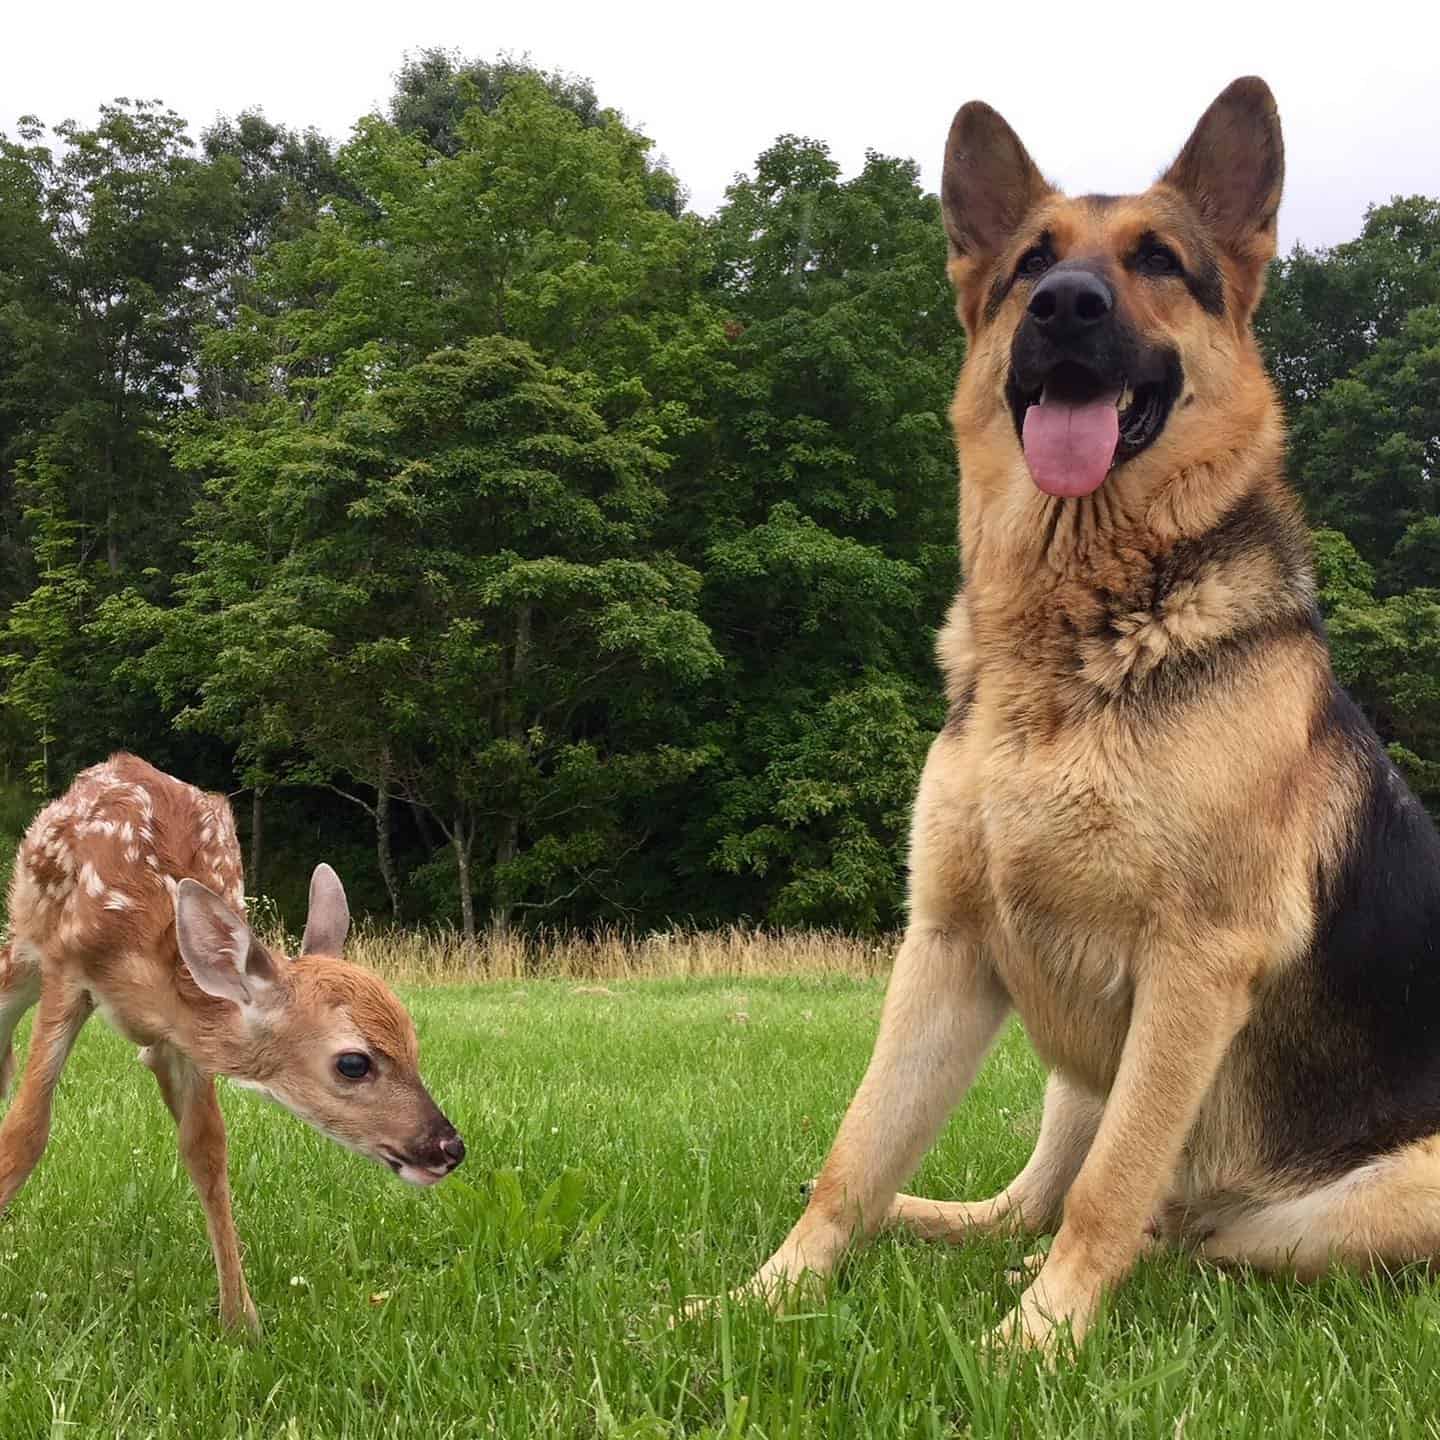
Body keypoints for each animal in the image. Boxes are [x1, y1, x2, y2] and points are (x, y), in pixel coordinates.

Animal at [725, 84, 1440, 1353]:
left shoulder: (1194, 969)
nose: (1064, 305)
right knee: (1022, 1205)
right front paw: (762, 1298)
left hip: (1367, 1185)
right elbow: (857, 1151)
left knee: (1192, 1233)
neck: (1074, 631)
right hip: (1076, 1066)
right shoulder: (947, 946)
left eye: (1157, 260)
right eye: (1029, 265)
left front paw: (1037, 1345)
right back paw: (941, 1225)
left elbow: (1112, 1190)